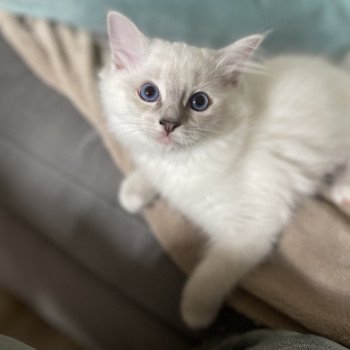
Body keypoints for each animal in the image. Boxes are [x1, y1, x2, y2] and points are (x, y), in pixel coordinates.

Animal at [99, 10, 350, 328]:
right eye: (149, 92)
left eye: (199, 102)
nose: (169, 124)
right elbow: (148, 173)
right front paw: (132, 193)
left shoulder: (249, 232)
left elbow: (210, 275)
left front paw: (194, 315)